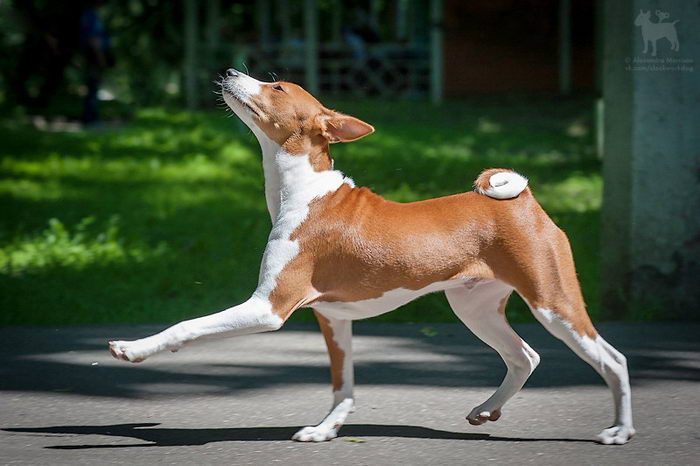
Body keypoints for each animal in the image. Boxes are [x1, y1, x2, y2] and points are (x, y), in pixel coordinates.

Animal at [109, 68, 636, 444]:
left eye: (276, 86)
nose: (230, 70)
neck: (303, 193)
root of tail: (524, 200)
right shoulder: (333, 318)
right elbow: (343, 386)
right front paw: (326, 429)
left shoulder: (268, 308)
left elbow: (186, 327)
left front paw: (134, 349)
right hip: (474, 307)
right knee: (524, 356)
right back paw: (487, 408)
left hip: (553, 301)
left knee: (613, 358)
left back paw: (620, 430)